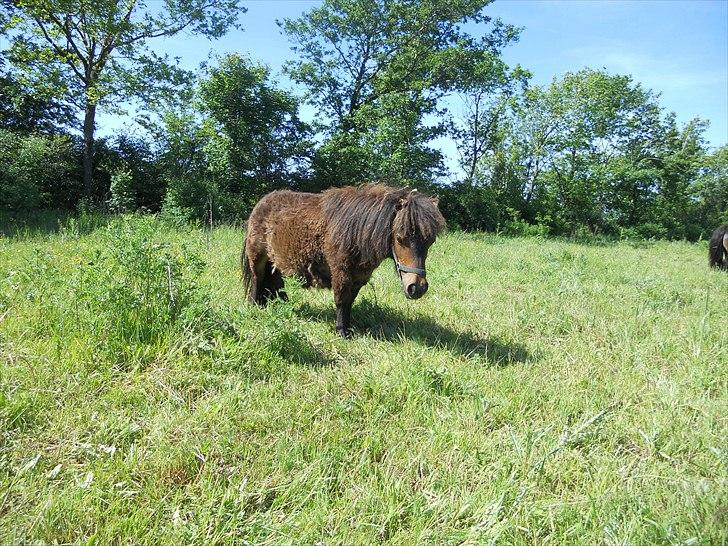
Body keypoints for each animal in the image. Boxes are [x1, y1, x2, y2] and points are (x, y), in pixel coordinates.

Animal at [242, 185, 444, 334]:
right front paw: (340, 331)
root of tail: (261, 203)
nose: (417, 288)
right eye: (400, 238)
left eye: (430, 241)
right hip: (258, 258)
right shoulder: (341, 272)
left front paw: (347, 328)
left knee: (275, 282)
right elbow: (341, 299)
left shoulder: (359, 277)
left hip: (275, 261)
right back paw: (253, 306)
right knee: (257, 279)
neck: (356, 232)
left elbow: (349, 302)